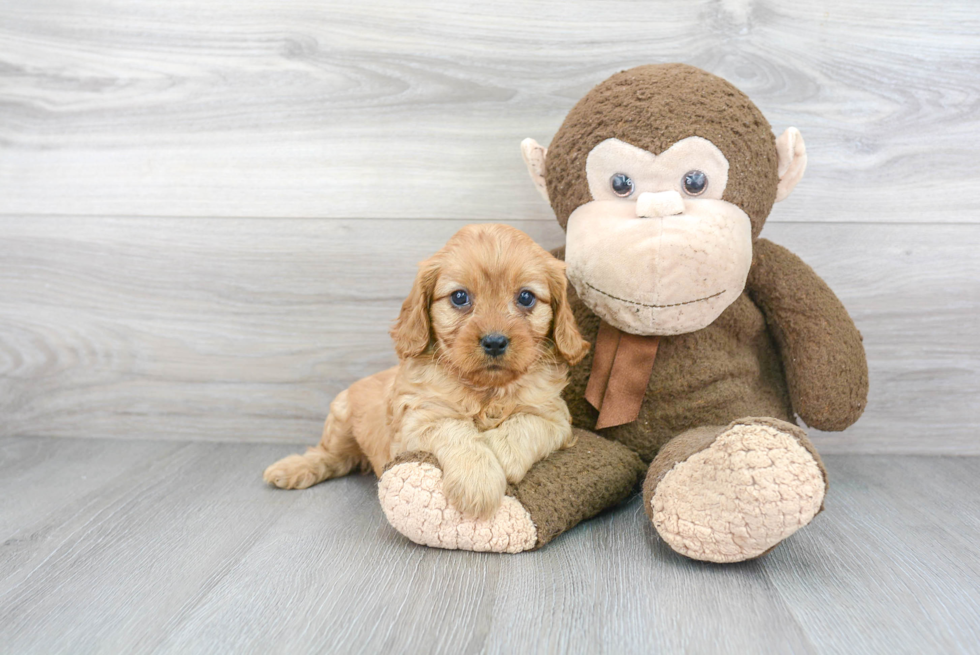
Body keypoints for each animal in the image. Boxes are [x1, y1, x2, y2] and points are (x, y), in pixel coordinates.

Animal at [262, 223, 588, 520]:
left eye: (526, 297)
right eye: (459, 297)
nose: (495, 341)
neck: (486, 391)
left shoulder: (554, 416)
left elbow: (524, 424)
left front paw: (500, 455)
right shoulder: (418, 419)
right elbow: (455, 430)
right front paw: (478, 482)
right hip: (341, 419)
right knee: (329, 455)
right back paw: (291, 468)